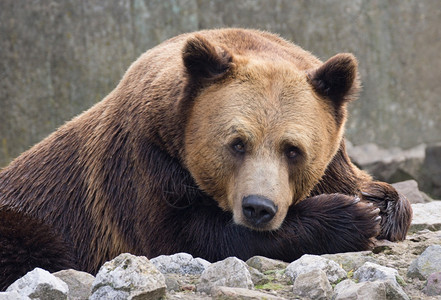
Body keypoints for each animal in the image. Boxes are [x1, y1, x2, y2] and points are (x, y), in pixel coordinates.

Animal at [0, 28, 412, 290]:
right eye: (237, 143)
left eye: (293, 149)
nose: (258, 208)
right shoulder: (143, 165)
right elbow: (187, 237)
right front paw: (350, 216)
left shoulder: (333, 161)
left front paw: (380, 205)